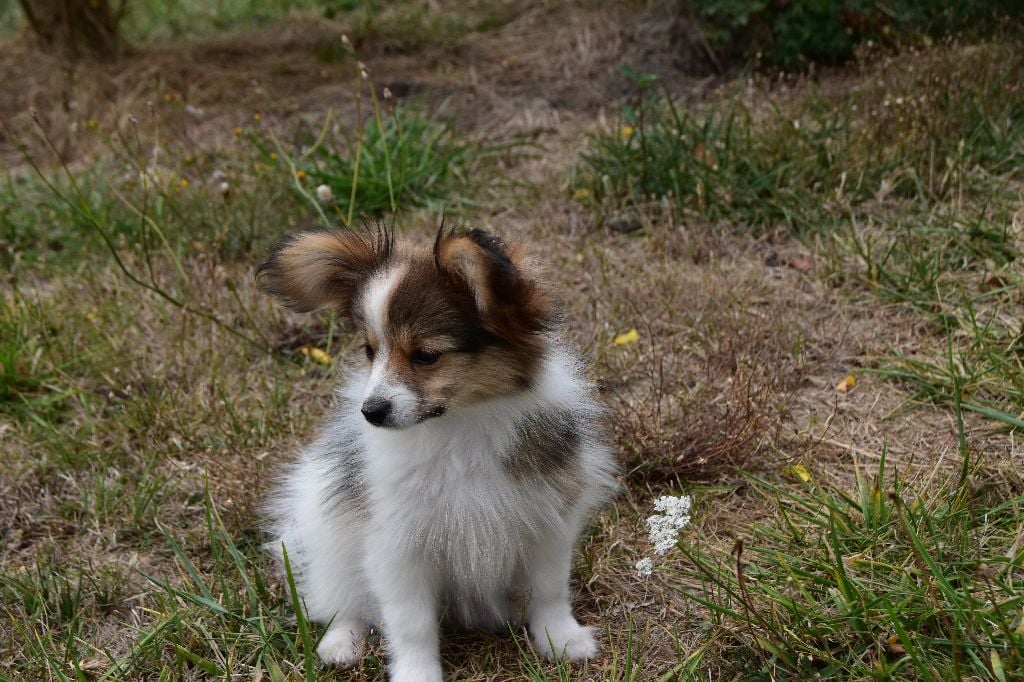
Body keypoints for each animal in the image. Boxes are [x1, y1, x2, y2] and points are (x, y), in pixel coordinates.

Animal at [255, 224, 617, 681]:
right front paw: (416, 672)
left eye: (426, 356)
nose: (371, 412)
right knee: (340, 599)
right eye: (370, 351)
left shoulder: (546, 520)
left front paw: (561, 638)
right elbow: (411, 622)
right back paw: (342, 642)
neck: (459, 427)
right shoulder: (396, 545)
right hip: (330, 537)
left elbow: (549, 589)